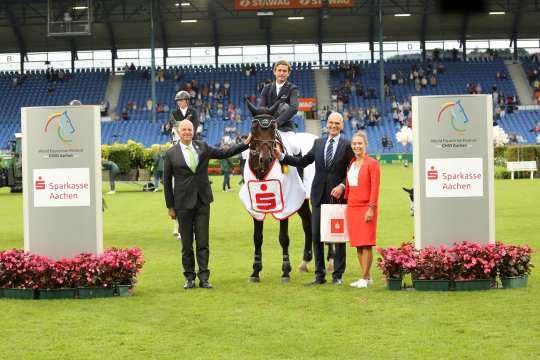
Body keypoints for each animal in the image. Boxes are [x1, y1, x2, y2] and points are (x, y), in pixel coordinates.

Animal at [244, 100, 314, 282]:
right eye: (254, 127)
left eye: (273, 126)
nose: (266, 157)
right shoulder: (256, 203)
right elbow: (257, 237)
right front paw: (255, 271)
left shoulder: (286, 201)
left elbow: (283, 237)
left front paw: (285, 271)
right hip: (302, 200)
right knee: (308, 223)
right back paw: (305, 261)